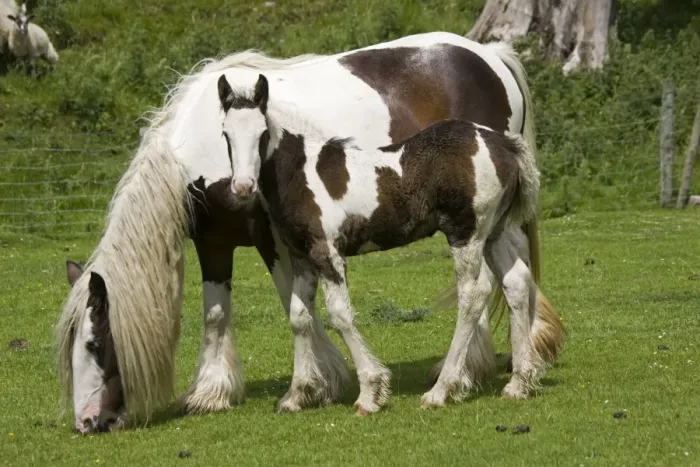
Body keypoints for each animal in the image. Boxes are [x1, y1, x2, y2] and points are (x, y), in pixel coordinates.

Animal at [217, 72, 544, 412]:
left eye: (262, 133)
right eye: (226, 133)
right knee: (516, 282)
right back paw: (519, 383)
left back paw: (441, 390)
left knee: (473, 294)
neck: (300, 174)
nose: (243, 186)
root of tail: (505, 144)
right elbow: (299, 316)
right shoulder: (302, 257)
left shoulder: (327, 252)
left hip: (466, 233)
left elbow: (340, 315)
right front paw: (297, 395)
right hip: (494, 233)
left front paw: (370, 393)